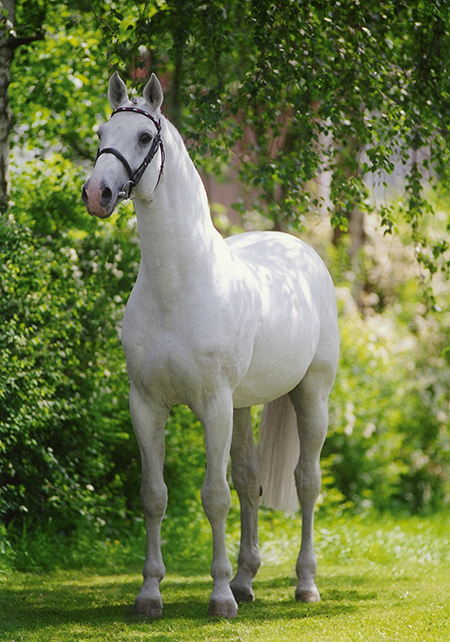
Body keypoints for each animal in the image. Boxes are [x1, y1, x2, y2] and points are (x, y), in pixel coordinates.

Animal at [82, 72, 340, 616]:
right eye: (100, 134)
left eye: (144, 137)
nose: (97, 193)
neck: (177, 287)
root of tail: (300, 249)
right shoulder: (146, 405)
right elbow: (154, 495)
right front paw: (150, 594)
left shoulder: (213, 406)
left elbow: (214, 496)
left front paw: (219, 597)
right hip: (243, 406)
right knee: (249, 480)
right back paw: (246, 579)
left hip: (311, 395)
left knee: (306, 483)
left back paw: (304, 584)